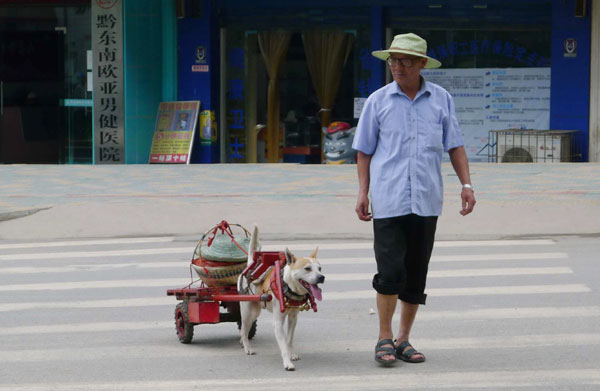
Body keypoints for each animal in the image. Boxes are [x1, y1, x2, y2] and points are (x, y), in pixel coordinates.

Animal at [238, 227, 324, 370]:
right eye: (307, 268)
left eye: (320, 268)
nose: (322, 277)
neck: (287, 286)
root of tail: (250, 266)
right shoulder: (278, 322)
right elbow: (283, 344)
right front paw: (287, 362)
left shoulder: (293, 318)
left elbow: (289, 340)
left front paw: (292, 354)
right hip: (247, 311)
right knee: (244, 329)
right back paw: (247, 347)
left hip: (255, 311)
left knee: (246, 328)